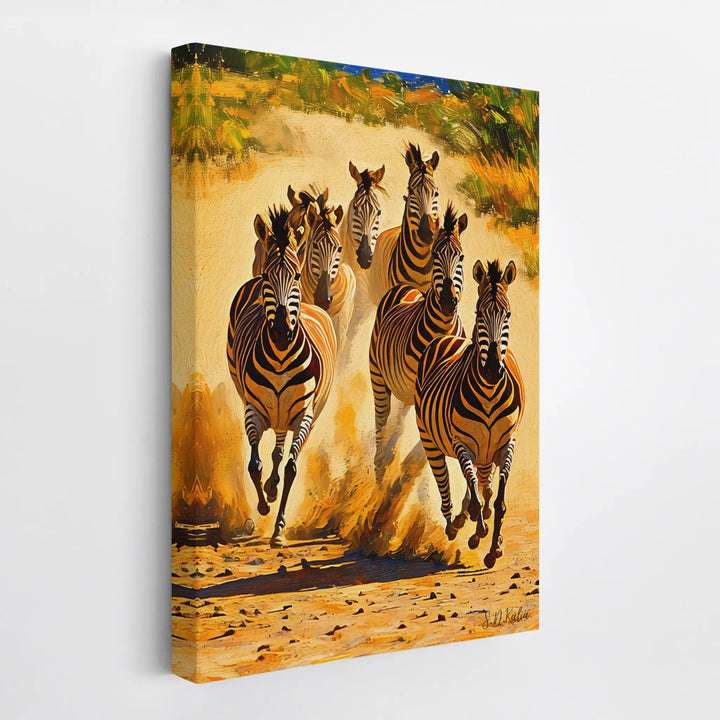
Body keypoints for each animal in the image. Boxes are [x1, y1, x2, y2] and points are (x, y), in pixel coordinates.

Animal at [227, 206, 337, 547]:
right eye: (266, 277)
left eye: (297, 276)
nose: (280, 332)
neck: (280, 356)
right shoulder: (252, 408)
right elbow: (255, 463)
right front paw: (264, 505)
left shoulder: (304, 414)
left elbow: (290, 466)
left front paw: (278, 530)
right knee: (272, 447)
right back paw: (269, 491)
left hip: (302, 413)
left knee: (281, 449)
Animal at [369, 204, 467, 449]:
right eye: (434, 255)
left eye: (461, 256)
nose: (447, 301)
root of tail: (407, 287)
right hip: (377, 374)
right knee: (382, 418)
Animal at [414, 259, 525, 568]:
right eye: (479, 314)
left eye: (507, 314)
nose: (492, 370)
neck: (489, 391)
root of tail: (447, 338)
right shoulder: (463, 444)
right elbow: (475, 494)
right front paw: (480, 532)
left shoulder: (505, 443)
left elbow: (497, 500)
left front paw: (494, 549)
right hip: (433, 443)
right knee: (450, 485)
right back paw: (456, 525)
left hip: (486, 451)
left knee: (484, 487)